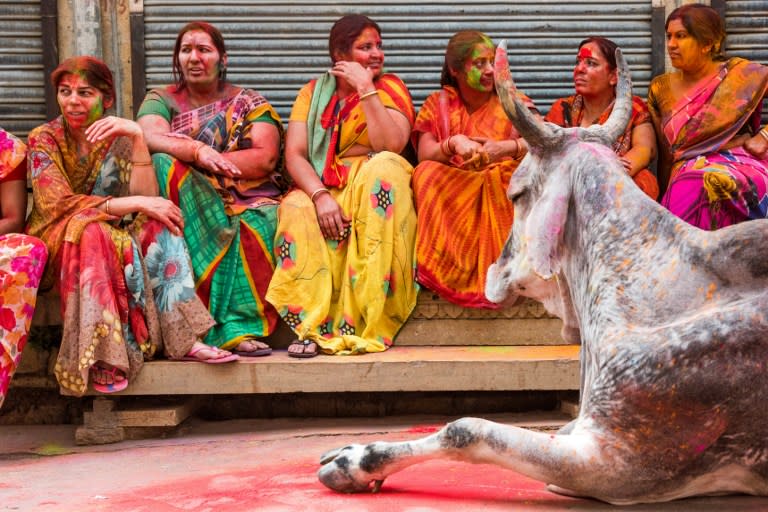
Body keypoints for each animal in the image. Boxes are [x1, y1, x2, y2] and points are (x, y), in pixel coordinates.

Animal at [314, 42, 768, 506]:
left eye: (515, 194)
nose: (493, 272)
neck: (639, 280)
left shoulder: (618, 462)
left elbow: (466, 429)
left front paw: (354, 463)